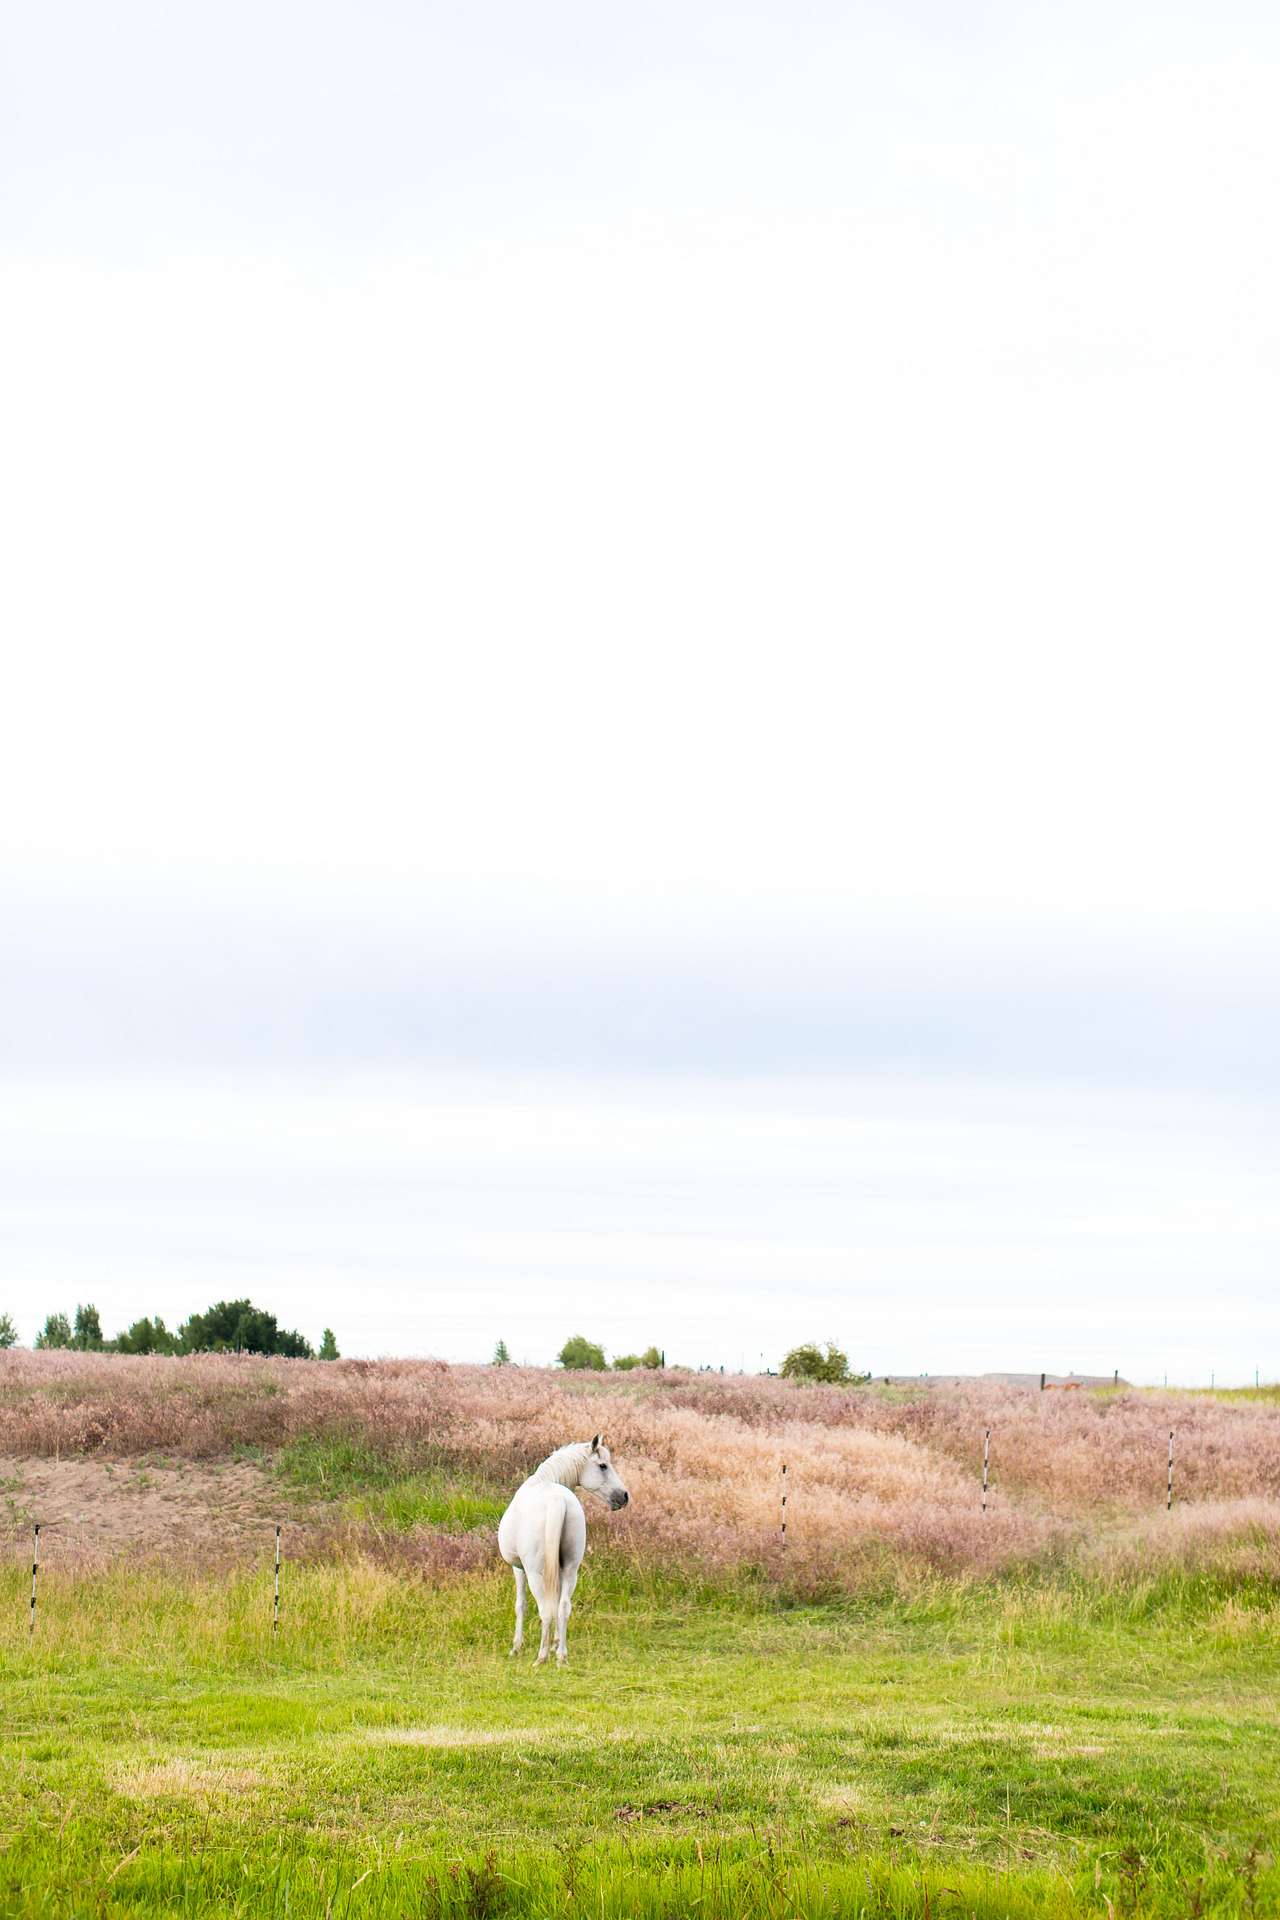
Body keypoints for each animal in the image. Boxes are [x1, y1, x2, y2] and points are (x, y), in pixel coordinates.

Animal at [497, 1435, 629, 1666]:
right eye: (603, 1466)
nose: (624, 1496)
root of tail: (556, 1500)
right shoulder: (558, 1569)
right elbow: (558, 1600)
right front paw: (556, 1643)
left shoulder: (518, 1568)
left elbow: (521, 1605)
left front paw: (516, 1647)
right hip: (570, 1570)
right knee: (564, 1606)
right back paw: (561, 1656)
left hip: (535, 1574)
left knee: (545, 1610)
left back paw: (541, 1657)